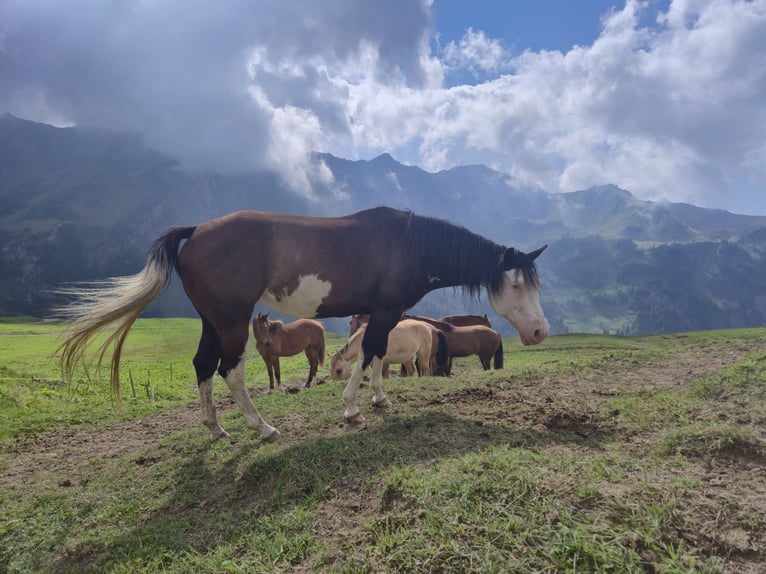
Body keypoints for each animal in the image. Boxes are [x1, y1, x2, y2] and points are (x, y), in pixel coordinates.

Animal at [57, 206, 548, 441]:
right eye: (516, 285)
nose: (540, 331)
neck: (409, 244)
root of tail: (195, 231)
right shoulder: (384, 312)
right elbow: (368, 354)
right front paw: (352, 408)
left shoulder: (388, 315)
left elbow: (378, 355)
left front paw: (380, 399)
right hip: (232, 321)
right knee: (229, 371)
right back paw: (263, 429)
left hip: (211, 321)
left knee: (202, 366)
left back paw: (216, 428)